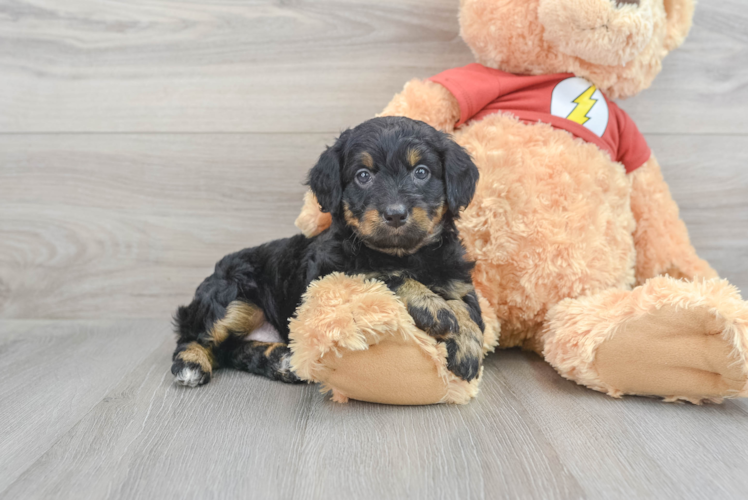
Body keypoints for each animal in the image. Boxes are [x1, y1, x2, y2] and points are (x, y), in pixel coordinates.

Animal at [172, 116, 482, 386]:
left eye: (421, 172)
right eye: (363, 176)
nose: (395, 214)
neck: (404, 253)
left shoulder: (456, 277)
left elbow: (467, 306)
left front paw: (467, 342)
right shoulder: (334, 276)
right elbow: (389, 277)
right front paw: (434, 308)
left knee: (234, 350)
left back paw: (281, 362)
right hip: (230, 295)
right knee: (196, 334)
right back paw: (191, 364)